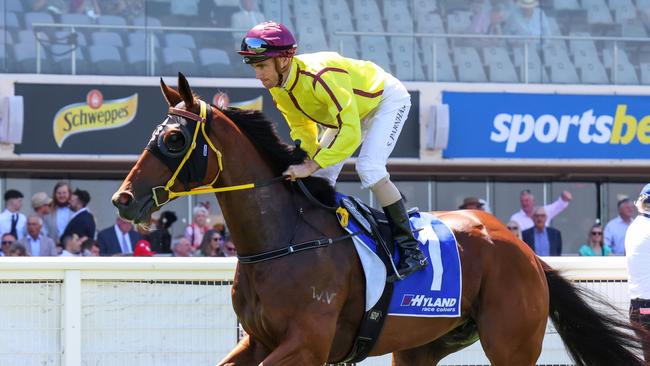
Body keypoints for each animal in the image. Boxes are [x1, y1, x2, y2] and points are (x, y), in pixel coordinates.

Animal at [111, 73, 644, 364]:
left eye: (174, 139)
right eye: (156, 134)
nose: (122, 200)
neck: (283, 241)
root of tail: (525, 251)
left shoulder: (306, 345)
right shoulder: (260, 341)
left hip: (512, 343)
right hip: (419, 346)